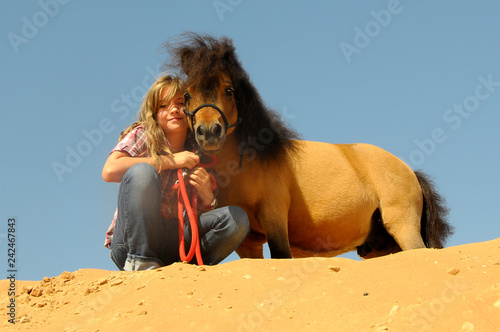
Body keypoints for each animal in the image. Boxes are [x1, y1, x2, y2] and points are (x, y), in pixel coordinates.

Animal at [164, 32, 454, 258]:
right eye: (187, 95)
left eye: (228, 90)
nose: (208, 132)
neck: (247, 164)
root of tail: (409, 171)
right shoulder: (249, 243)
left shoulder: (274, 216)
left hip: (403, 226)